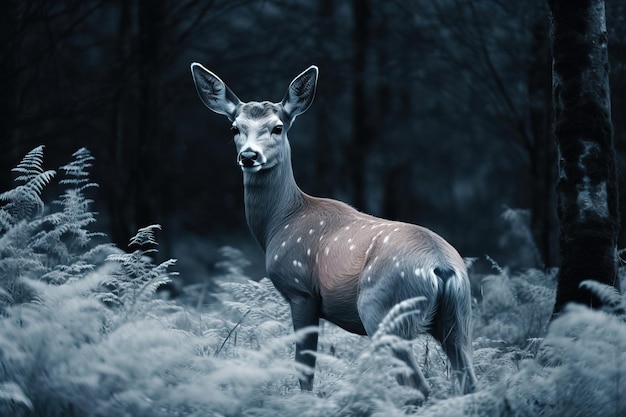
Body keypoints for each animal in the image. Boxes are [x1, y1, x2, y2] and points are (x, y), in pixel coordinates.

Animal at [188, 62, 476, 396]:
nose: (249, 156)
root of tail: (441, 267)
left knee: (417, 385)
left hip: (384, 309)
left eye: (277, 127)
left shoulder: (300, 290)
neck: (282, 220)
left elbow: (305, 368)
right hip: (459, 317)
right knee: (470, 380)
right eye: (235, 128)